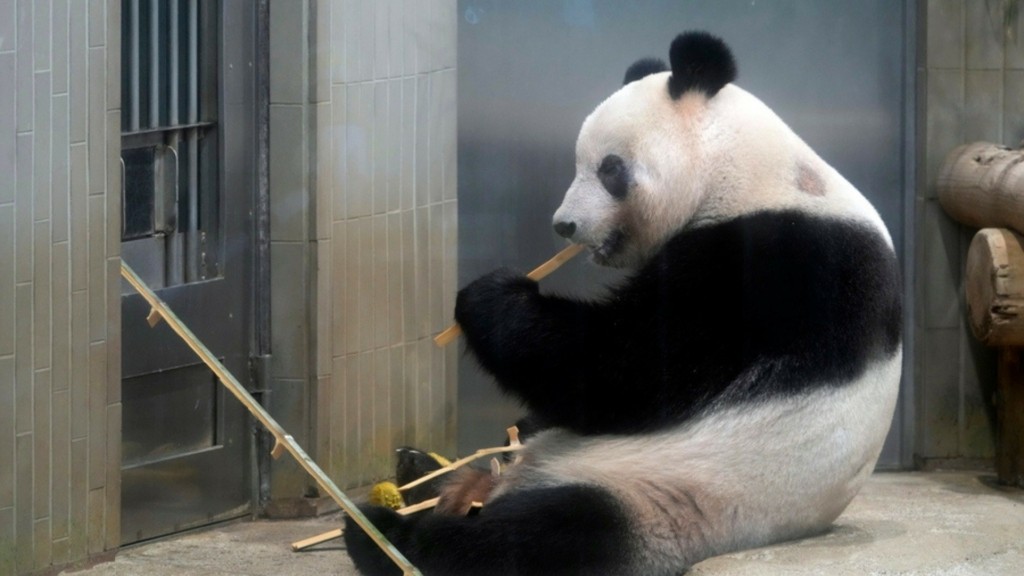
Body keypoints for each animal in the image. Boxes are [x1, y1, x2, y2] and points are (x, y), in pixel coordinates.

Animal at [344, 30, 902, 576]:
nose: (564, 225)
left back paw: (382, 534)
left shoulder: (777, 265)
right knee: (514, 452)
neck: (753, 174)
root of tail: (506, 485)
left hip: (667, 500)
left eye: (610, 168)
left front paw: (489, 296)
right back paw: (422, 470)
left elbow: (628, 367)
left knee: (537, 538)